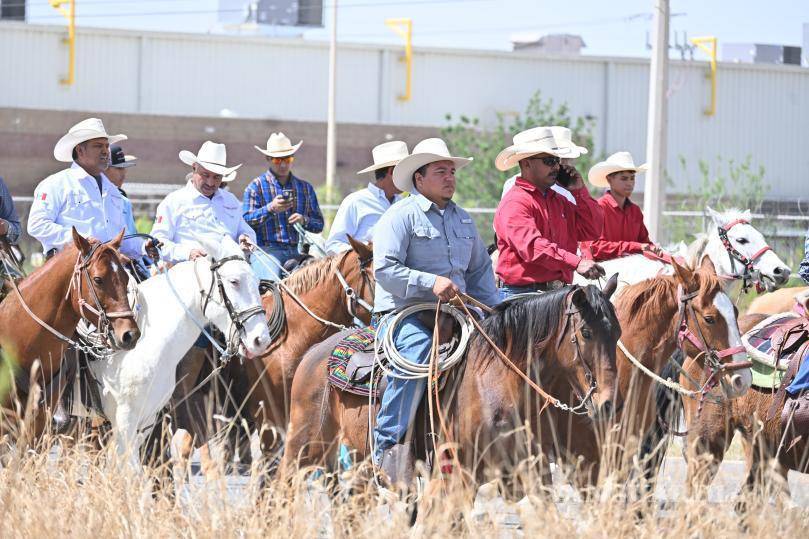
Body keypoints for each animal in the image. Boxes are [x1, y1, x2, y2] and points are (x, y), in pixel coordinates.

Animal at [282, 280, 620, 504]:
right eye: (585, 332)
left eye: (616, 333)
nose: (607, 404)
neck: (499, 381)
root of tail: (314, 353)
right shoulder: (457, 477)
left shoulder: (528, 472)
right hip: (303, 448)